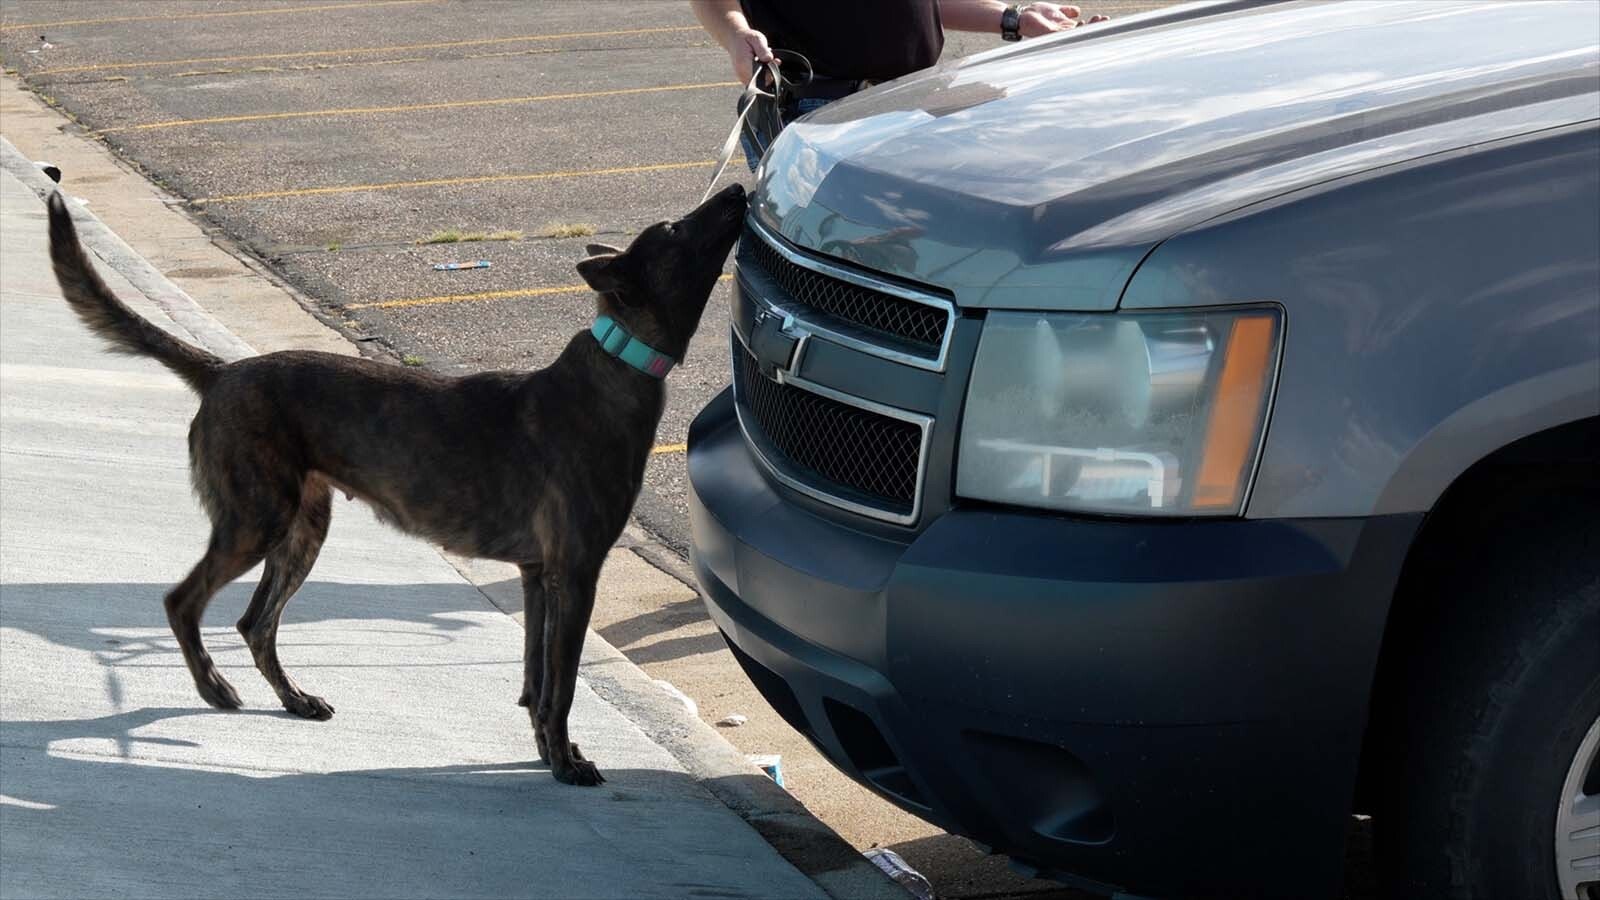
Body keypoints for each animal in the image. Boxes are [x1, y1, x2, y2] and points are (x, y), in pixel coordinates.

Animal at [46, 184, 745, 784]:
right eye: (676, 230)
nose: (739, 189)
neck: (617, 366)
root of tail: (223, 372)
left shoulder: (536, 577)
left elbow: (537, 681)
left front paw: (552, 752)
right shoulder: (574, 574)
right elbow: (563, 684)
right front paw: (567, 766)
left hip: (303, 530)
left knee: (255, 623)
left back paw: (293, 698)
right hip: (257, 522)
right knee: (183, 601)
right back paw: (213, 687)